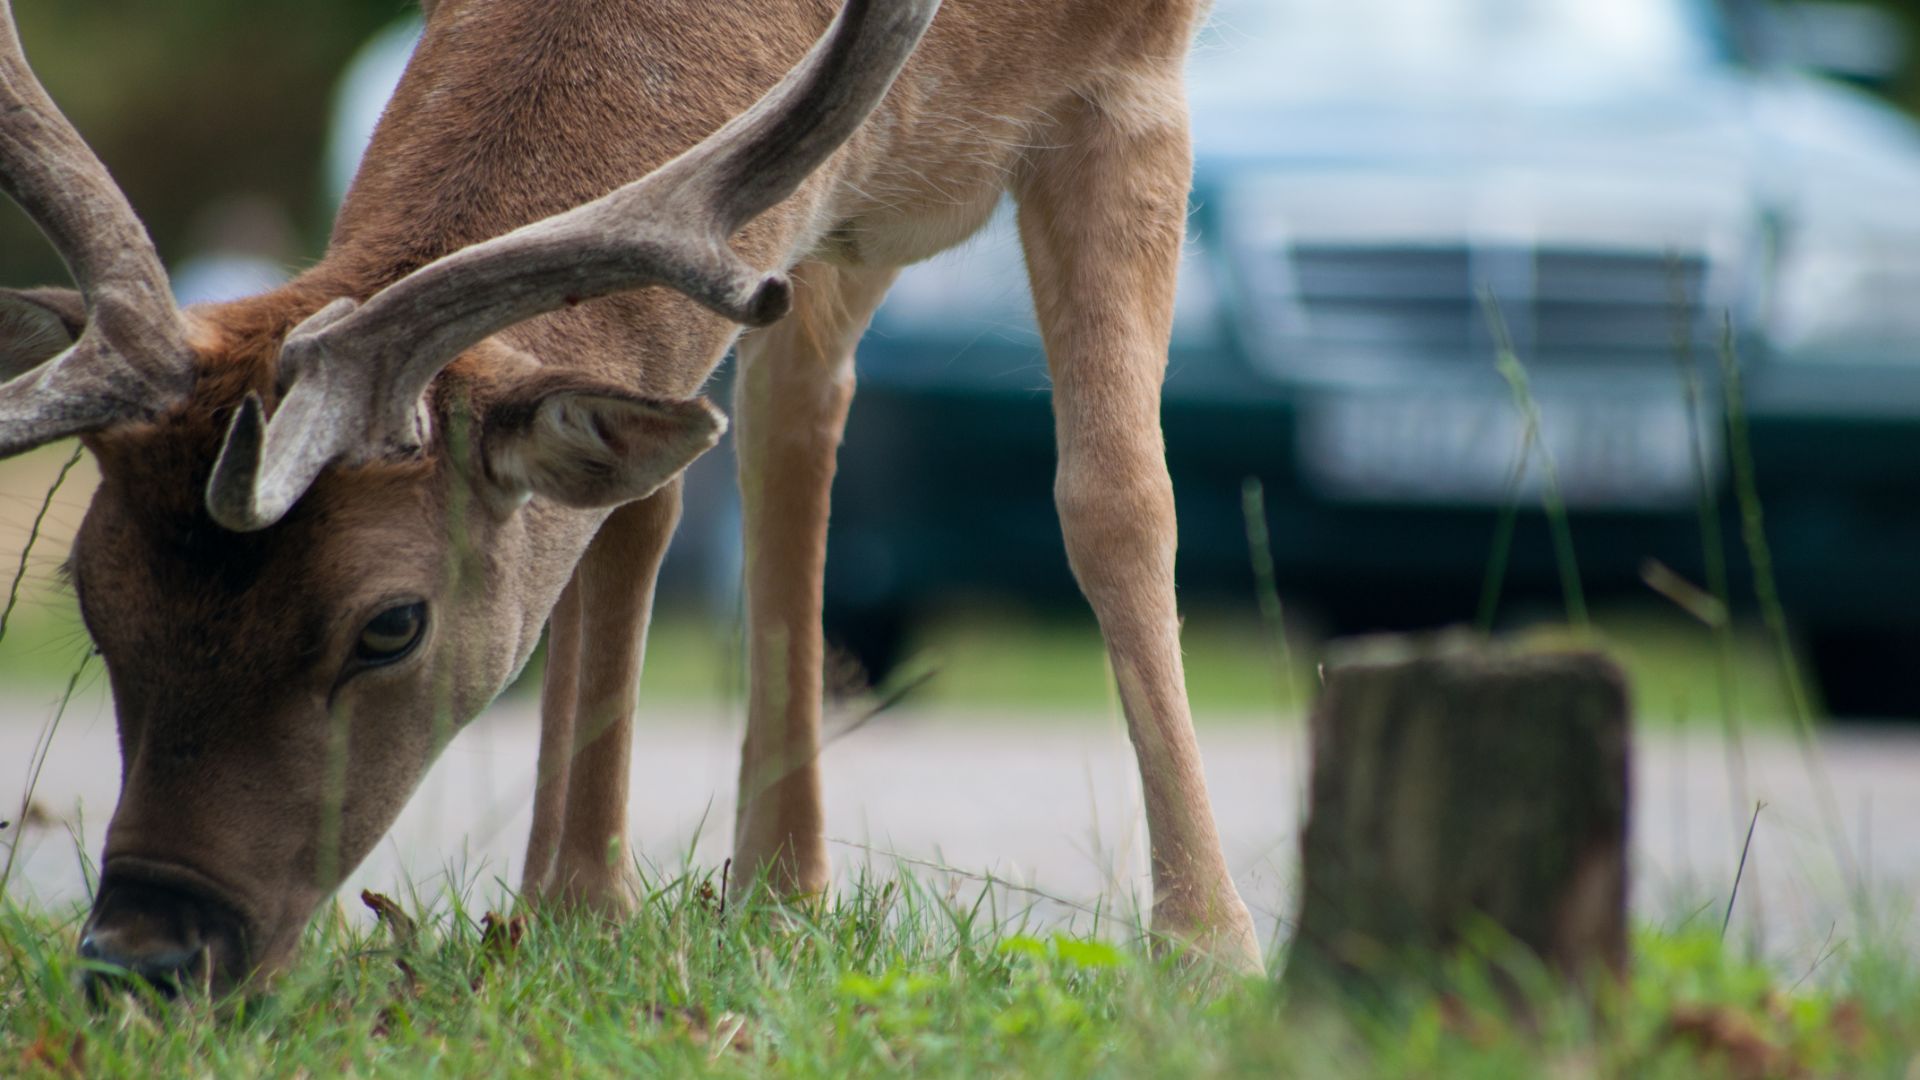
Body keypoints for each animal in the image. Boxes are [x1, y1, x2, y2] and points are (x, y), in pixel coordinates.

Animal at [0, 0, 1267, 991]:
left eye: (390, 624)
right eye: (92, 596)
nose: (144, 953)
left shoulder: (1132, 84)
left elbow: (1116, 500)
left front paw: (1209, 947)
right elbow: (631, 502)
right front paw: (571, 904)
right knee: (774, 429)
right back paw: (767, 885)